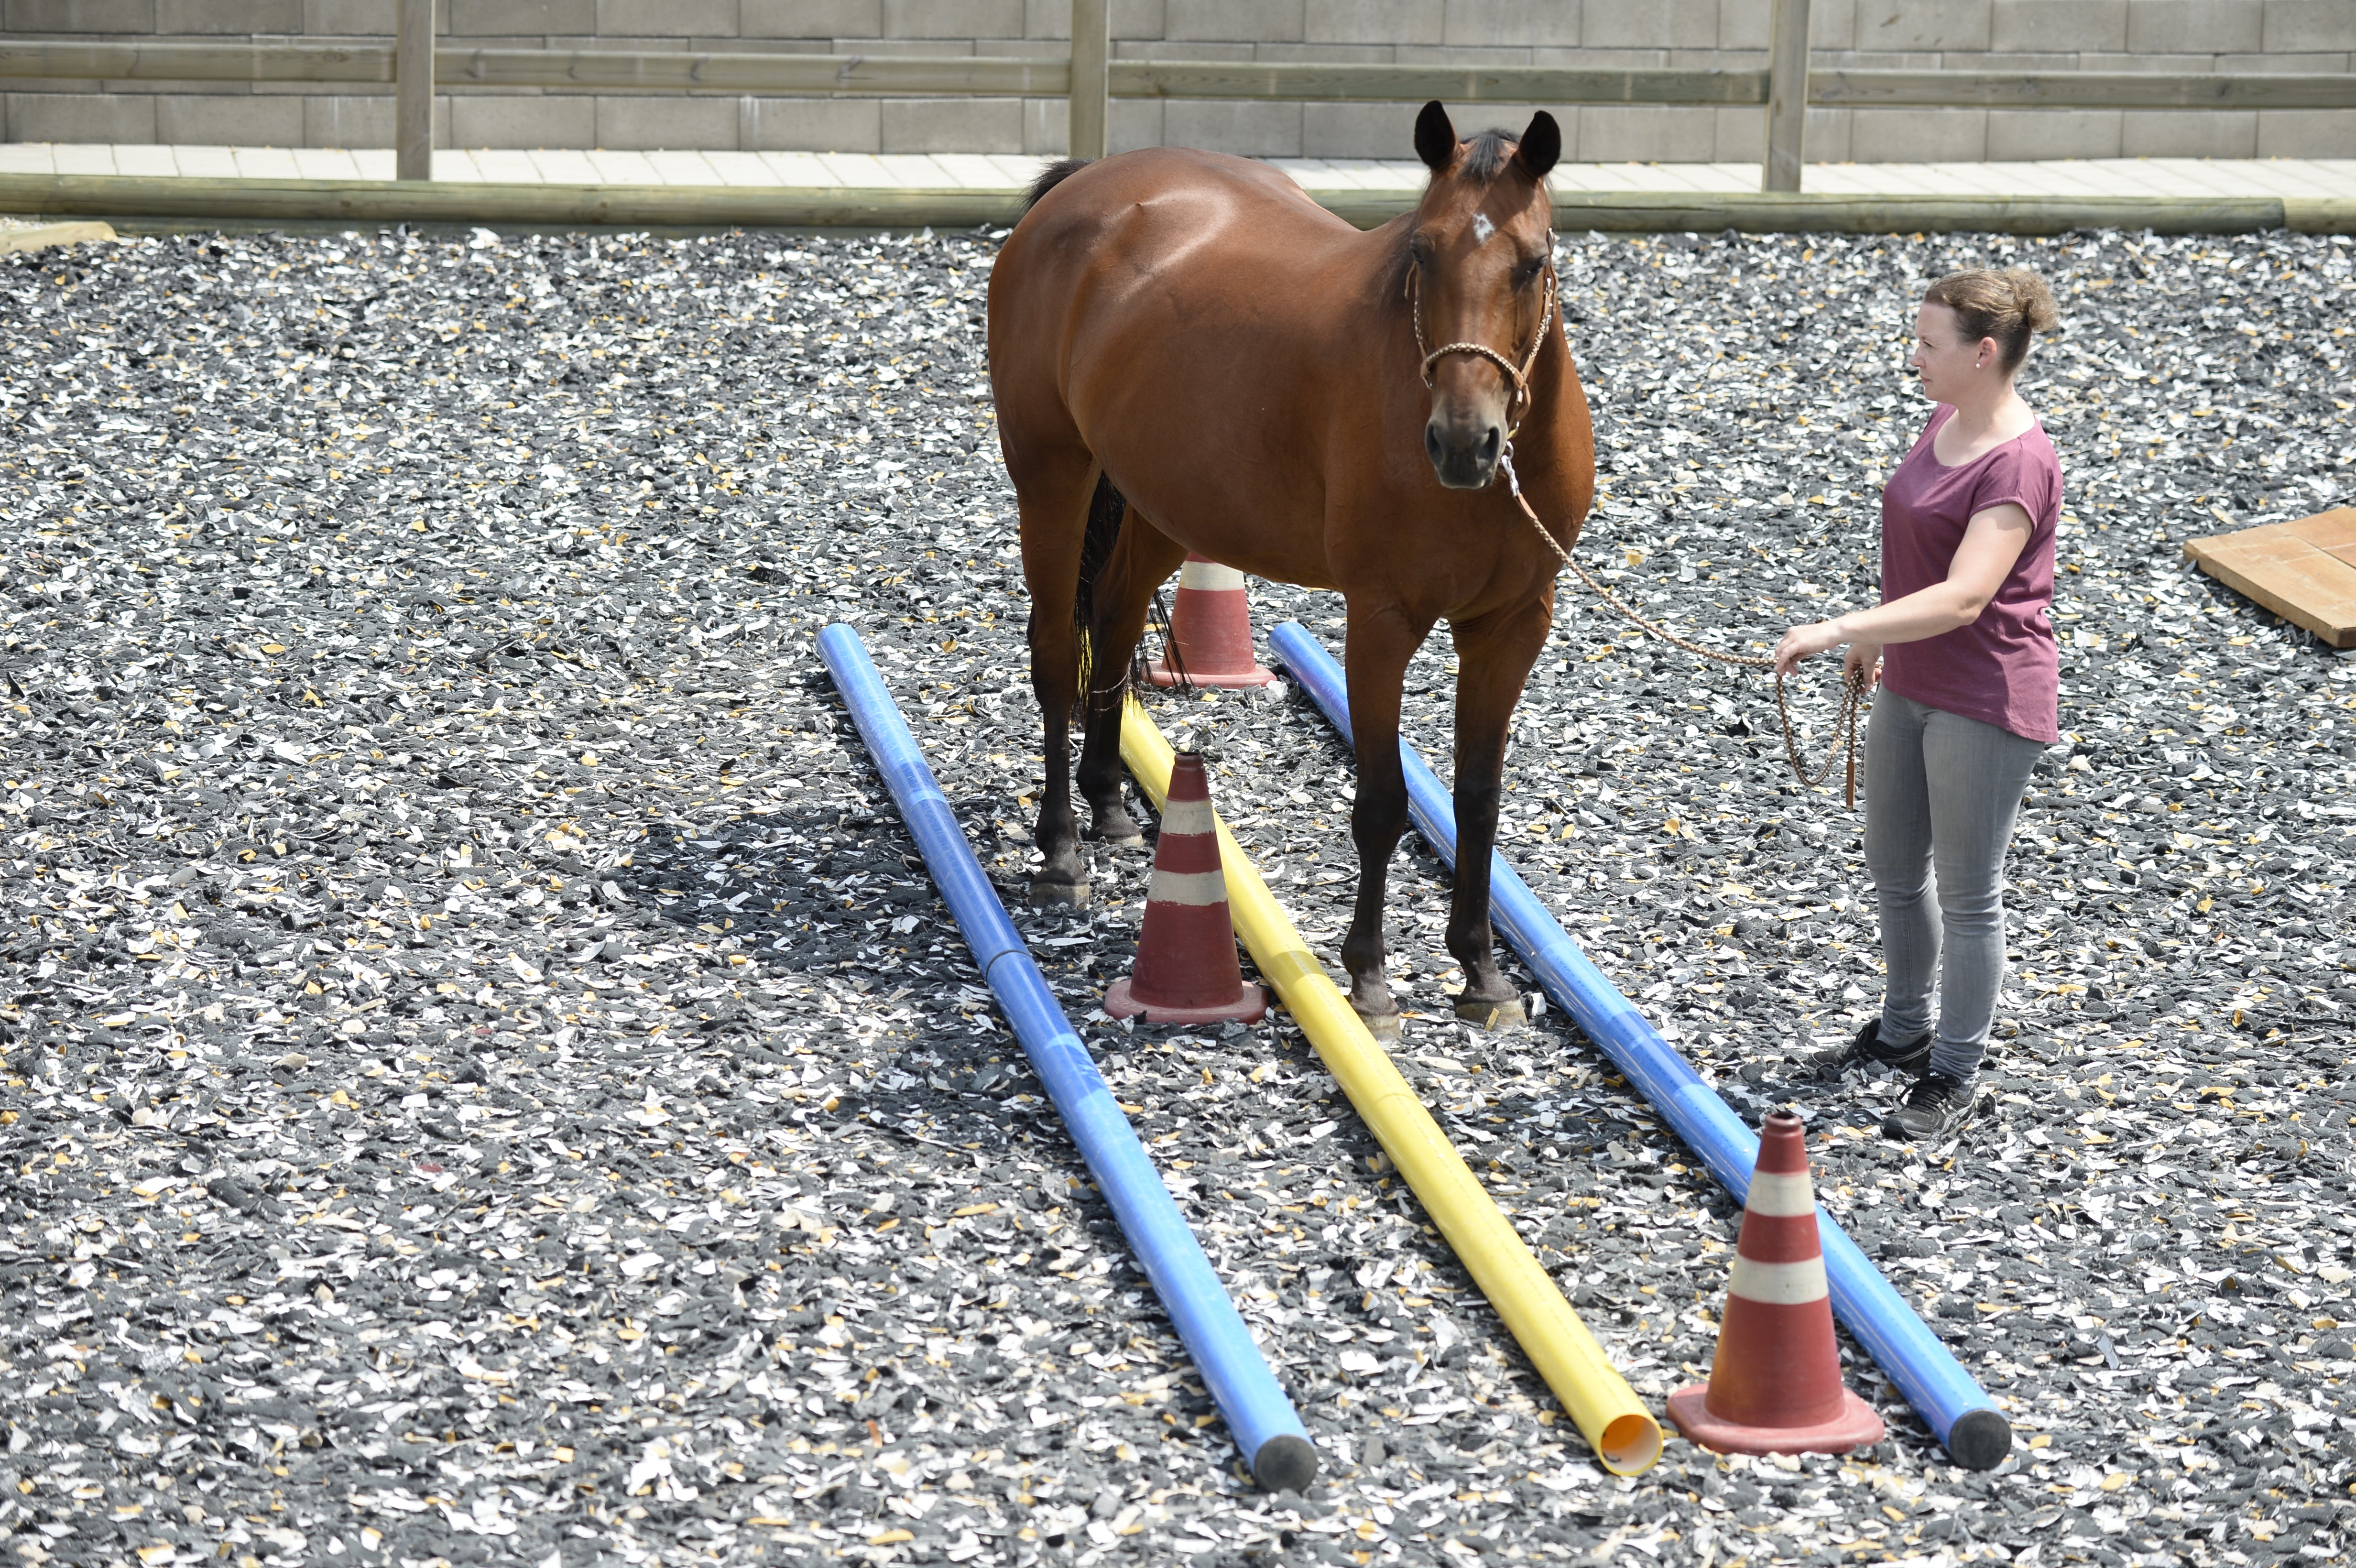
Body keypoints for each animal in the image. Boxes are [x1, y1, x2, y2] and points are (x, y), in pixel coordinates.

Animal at [987, 101, 1594, 1035]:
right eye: (1423, 252)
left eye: (1533, 263)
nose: (1463, 442)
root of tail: (1083, 189)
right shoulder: (1380, 622)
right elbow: (1382, 803)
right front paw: (1370, 979)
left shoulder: (1513, 624)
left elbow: (1477, 798)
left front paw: (1481, 972)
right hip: (1053, 477)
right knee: (1058, 652)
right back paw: (1060, 849)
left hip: (1167, 500)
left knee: (1115, 618)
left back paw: (1110, 804)